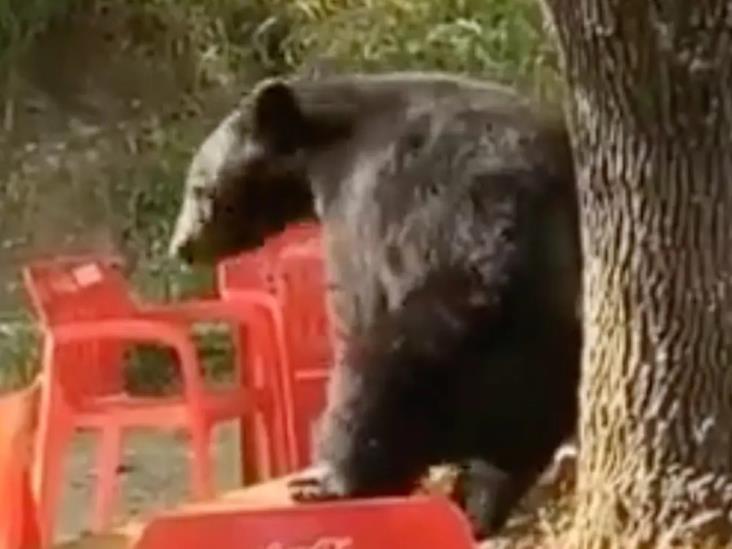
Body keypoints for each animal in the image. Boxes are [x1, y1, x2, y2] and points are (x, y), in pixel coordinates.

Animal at [167, 70, 584, 536]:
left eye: (198, 187)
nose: (181, 246)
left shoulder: (366, 204)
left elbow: (356, 301)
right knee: (511, 454)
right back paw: (476, 504)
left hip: (457, 331)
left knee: (375, 375)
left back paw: (331, 480)